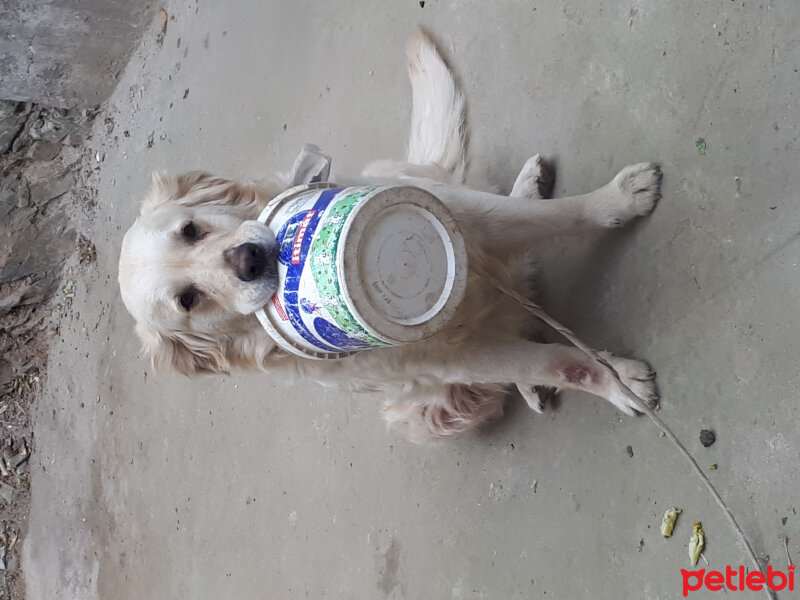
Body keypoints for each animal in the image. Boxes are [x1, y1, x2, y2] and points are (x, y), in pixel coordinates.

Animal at [115, 30, 660, 442]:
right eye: (189, 300)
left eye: (191, 229)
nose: (251, 259)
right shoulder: (457, 360)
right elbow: (556, 362)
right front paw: (615, 383)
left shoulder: (465, 216)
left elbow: (555, 216)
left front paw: (617, 200)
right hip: (431, 411)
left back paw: (528, 187)